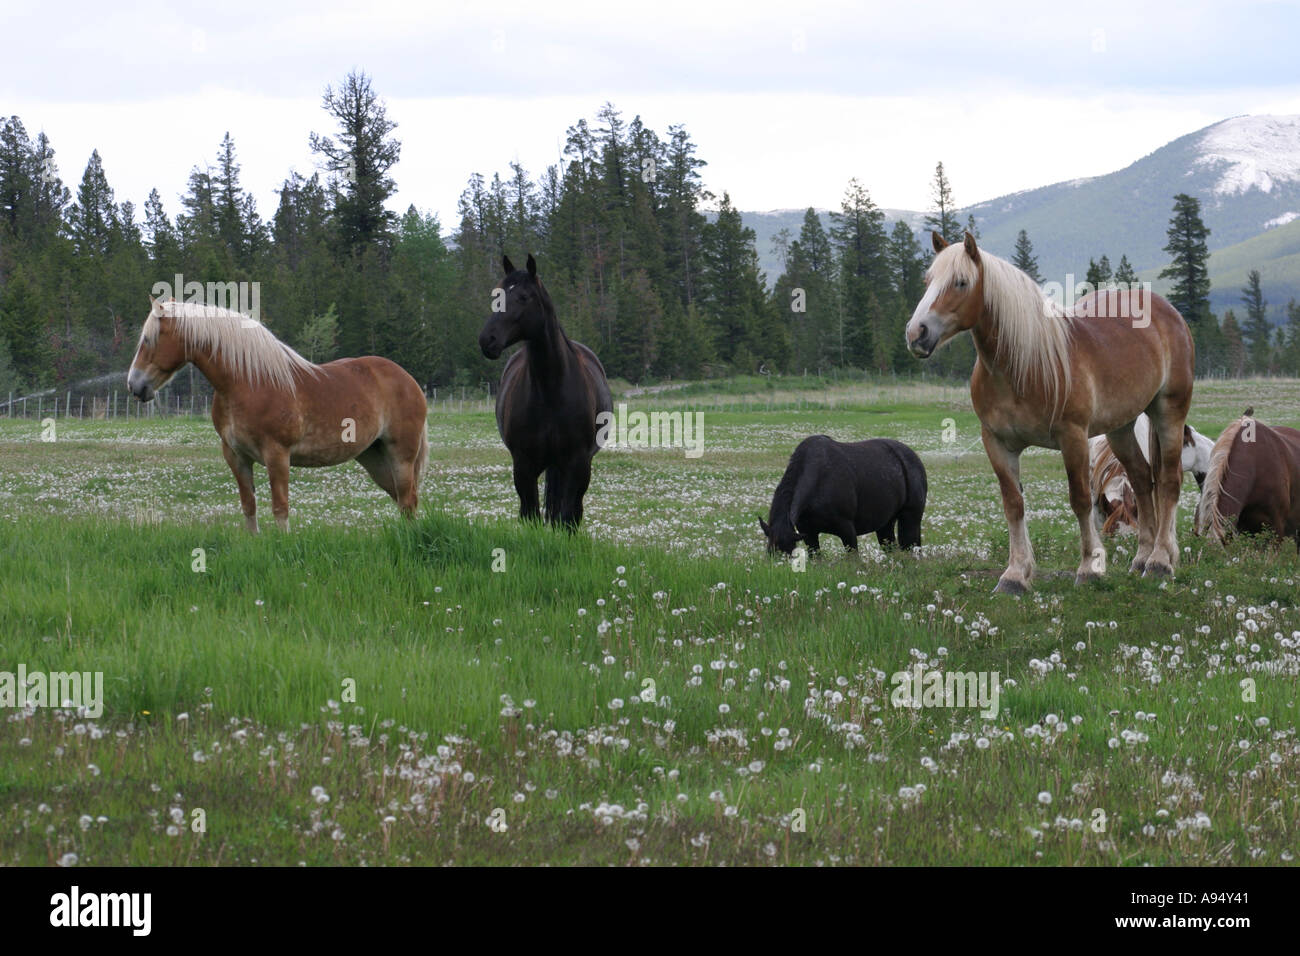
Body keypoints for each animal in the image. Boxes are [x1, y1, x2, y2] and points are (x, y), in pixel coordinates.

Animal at [127, 297, 429, 531]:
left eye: (149, 339)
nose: (134, 385)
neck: (248, 382)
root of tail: (409, 380)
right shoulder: (235, 456)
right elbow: (248, 506)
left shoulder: (277, 455)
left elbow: (280, 508)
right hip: (373, 456)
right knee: (402, 500)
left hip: (401, 454)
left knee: (407, 499)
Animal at [478, 254, 612, 529]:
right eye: (497, 295)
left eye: (523, 297)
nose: (488, 340)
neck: (551, 390)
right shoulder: (523, 465)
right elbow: (530, 515)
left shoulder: (577, 464)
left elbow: (568, 518)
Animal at [759, 435, 927, 554]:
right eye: (770, 553)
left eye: (789, 552)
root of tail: (913, 457)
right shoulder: (809, 534)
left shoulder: (847, 531)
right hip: (885, 523)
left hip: (910, 518)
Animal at [905, 232, 1195, 593]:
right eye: (928, 281)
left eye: (960, 282)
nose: (917, 333)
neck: (1019, 366)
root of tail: (1169, 313)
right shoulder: (997, 443)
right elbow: (1013, 504)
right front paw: (1015, 575)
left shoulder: (1072, 438)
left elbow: (1080, 499)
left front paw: (1089, 567)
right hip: (1120, 428)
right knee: (1142, 479)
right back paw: (1141, 558)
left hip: (1169, 411)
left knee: (1168, 481)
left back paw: (1159, 561)